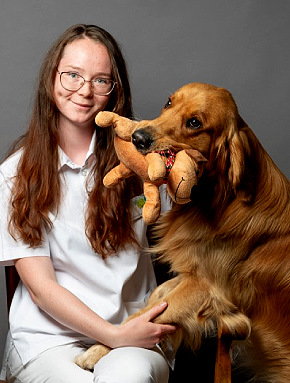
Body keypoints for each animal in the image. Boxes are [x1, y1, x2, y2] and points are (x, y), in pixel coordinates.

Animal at [75, 82, 290, 382]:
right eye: (168, 103)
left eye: (194, 123)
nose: (138, 137)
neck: (221, 198)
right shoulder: (194, 272)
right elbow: (156, 297)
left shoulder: (209, 288)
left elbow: (146, 315)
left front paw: (96, 350)